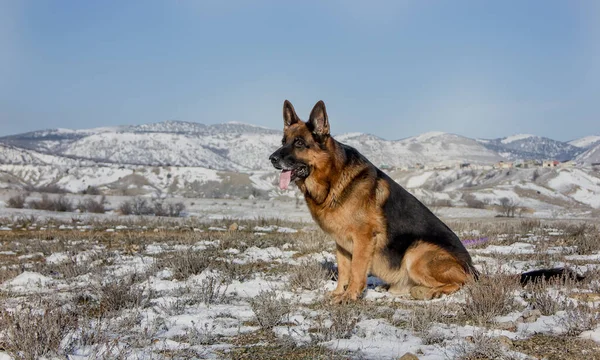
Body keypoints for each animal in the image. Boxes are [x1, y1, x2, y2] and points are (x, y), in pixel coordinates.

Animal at [270, 100, 478, 302]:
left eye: (298, 143)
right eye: (283, 142)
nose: (272, 158)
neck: (333, 178)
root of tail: (471, 268)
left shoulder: (363, 238)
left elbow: (356, 269)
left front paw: (350, 296)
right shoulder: (341, 243)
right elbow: (344, 270)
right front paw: (338, 293)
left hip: (417, 251)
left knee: (462, 283)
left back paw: (429, 292)